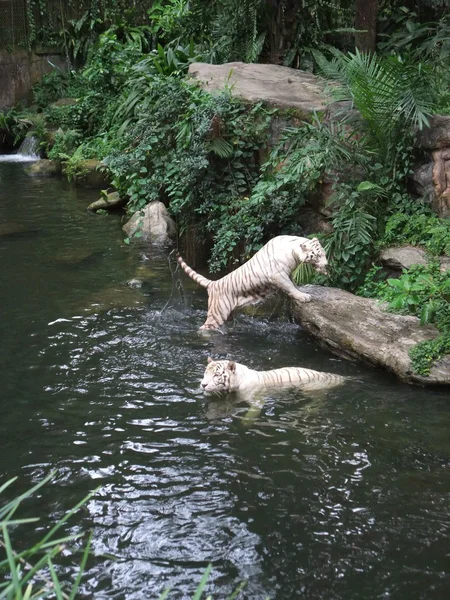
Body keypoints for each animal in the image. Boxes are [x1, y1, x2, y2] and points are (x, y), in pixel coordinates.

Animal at [177, 234, 326, 328]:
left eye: (323, 253)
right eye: (316, 255)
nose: (326, 265)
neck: (294, 252)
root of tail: (213, 283)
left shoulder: (288, 273)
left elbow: (293, 283)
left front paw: (302, 291)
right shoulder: (278, 275)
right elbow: (290, 286)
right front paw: (303, 296)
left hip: (228, 314)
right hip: (217, 313)